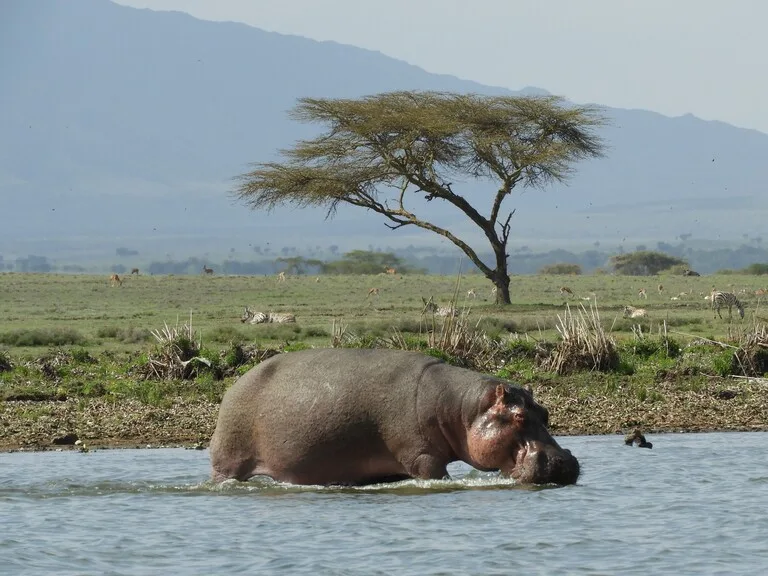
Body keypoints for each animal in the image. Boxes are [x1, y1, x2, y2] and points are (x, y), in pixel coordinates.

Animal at [207, 346, 580, 486]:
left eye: (544, 412)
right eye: (517, 417)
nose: (562, 460)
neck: (461, 407)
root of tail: (235, 384)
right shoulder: (423, 457)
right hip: (229, 460)